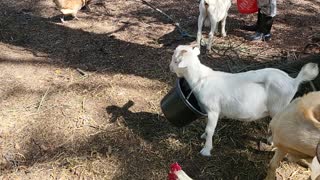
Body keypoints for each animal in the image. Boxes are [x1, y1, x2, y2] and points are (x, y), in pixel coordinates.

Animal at [169, 44, 318, 156]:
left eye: (176, 60)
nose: (170, 67)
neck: (201, 78)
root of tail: (293, 81)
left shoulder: (213, 110)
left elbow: (210, 129)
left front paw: (206, 150)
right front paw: (204, 137)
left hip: (279, 106)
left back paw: (271, 142)